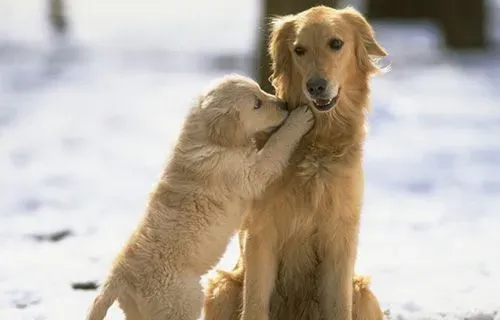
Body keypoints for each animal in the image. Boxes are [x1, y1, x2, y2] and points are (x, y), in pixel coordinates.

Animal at [84, 74, 314, 318]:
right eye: (257, 104)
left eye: (261, 91)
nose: (285, 105)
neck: (208, 139)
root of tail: (119, 276)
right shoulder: (246, 171)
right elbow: (275, 147)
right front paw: (299, 120)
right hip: (183, 300)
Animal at [202, 5, 386, 320]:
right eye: (299, 50)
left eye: (336, 43)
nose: (316, 86)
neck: (316, 143)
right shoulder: (261, 233)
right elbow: (255, 305)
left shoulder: (340, 239)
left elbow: (338, 305)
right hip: (223, 288)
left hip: (363, 294)